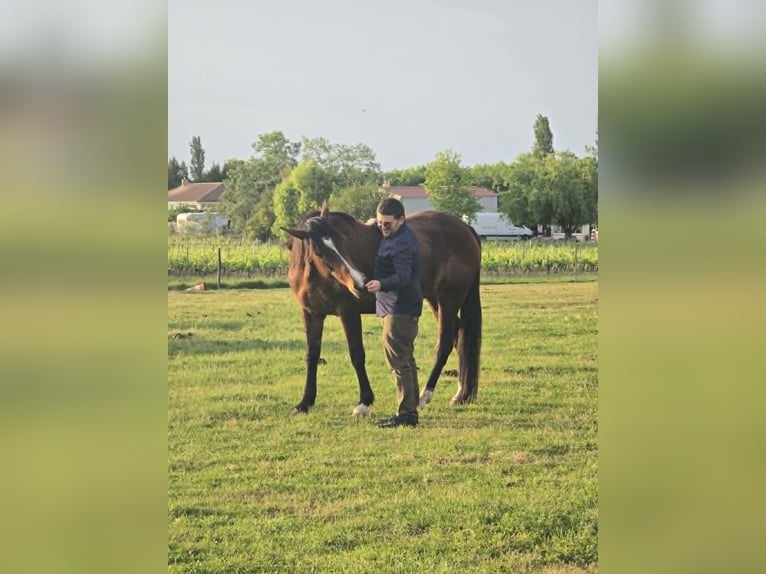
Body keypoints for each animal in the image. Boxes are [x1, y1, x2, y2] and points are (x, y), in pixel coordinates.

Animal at [282, 201, 482, 416]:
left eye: (343, 241)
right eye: (320, 253)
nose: (360, 283)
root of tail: (466, 229)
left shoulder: (348, 313)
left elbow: (356, 354)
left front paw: (364, 402)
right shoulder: (312, 314)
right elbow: (312, 356)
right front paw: (305, 402)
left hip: (449, 300)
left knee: (444, 344)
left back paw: (425, 396)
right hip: (436, 300)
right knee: (459, 337)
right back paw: (461, 394)